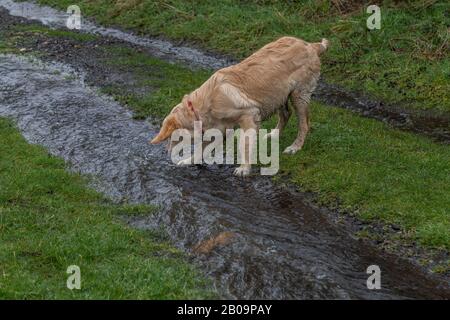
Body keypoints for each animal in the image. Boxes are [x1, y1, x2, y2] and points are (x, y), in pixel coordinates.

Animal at [149, 37, 328, 176]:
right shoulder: (218, 128)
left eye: (171, 137)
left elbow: (245, 145)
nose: (166, 153)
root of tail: (310, 45)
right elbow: (201, 148)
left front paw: (244, 168)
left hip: (299, 95)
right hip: (278, 94)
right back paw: (274, 135)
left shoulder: (249, 115)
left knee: (304, 124)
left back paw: (295, 147)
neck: (204, 105)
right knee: (285, 114)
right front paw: (189, 160)